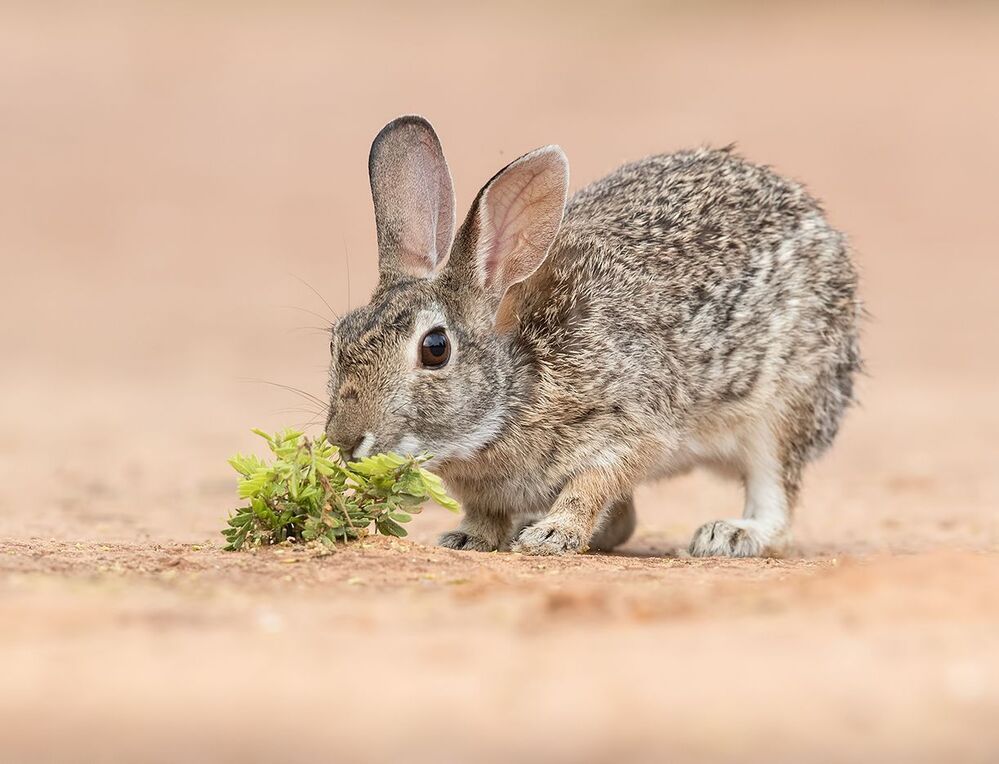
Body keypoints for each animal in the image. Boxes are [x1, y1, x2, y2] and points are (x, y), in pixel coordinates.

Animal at [325, 115, 861, 557]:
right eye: (338, 338)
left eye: (435, 349)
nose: (344, 440)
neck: (519, 381)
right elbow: (487, 513)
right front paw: (470, 538)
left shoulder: (631, 423)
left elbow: (593, 484)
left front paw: (551, 536)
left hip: (785, 407)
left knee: (776, 497)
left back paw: (729, 535)